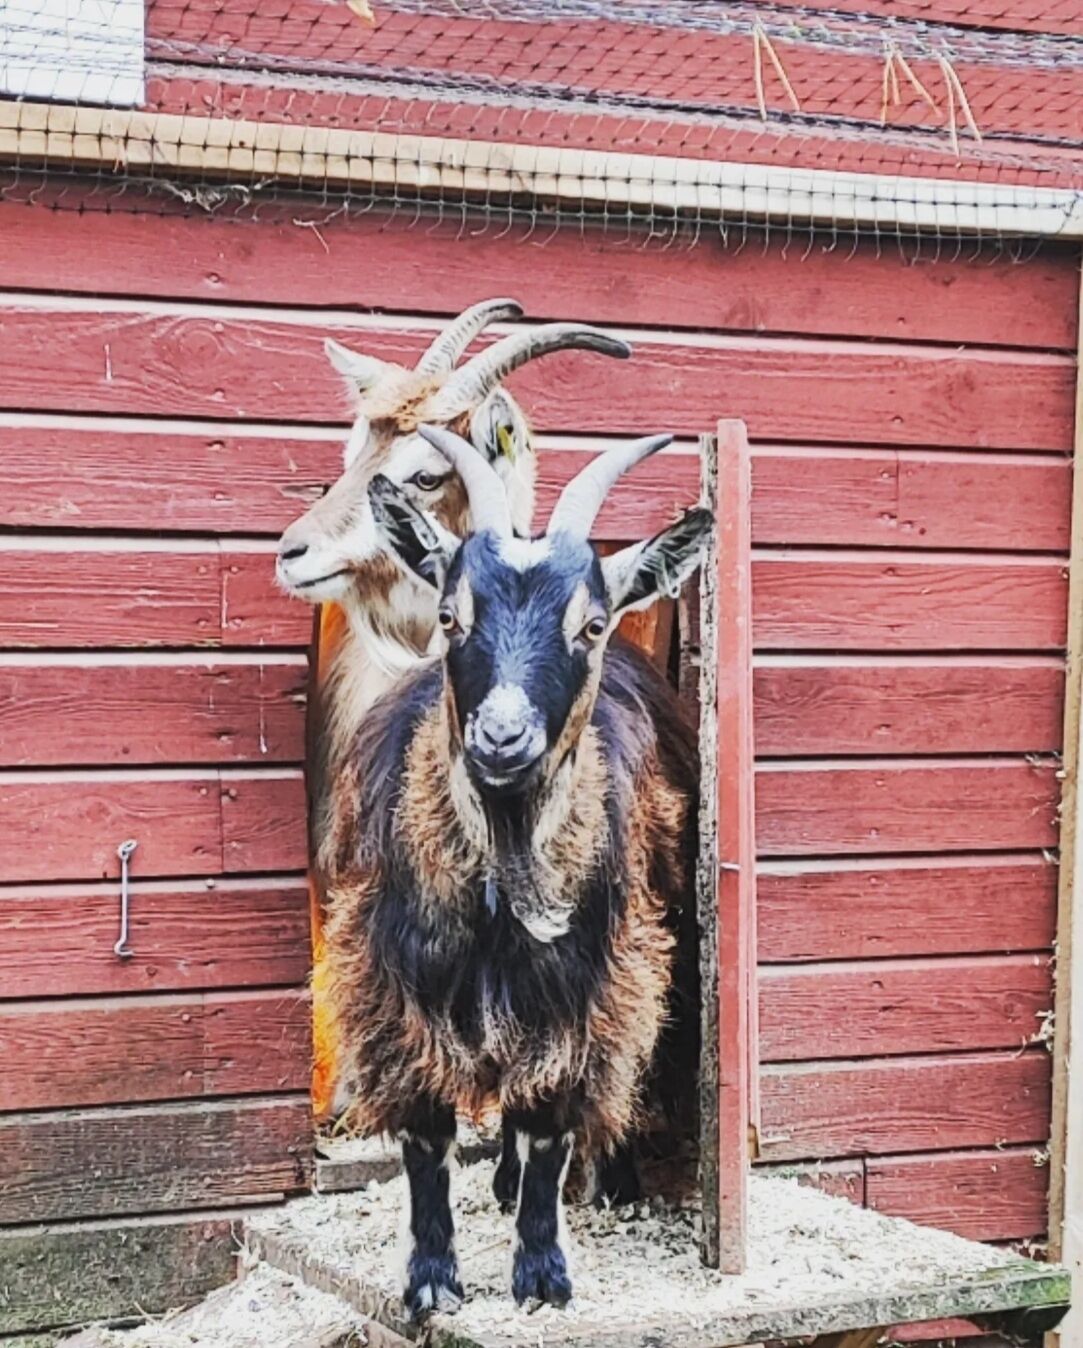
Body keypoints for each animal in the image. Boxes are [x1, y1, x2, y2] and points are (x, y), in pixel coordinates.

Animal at [323, 424, 711, 1315]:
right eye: (450, 615)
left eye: (592, 624)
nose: (502, 737)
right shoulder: (401, 992)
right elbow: (427, 1140)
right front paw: (432, 1280)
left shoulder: (579, 991)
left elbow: (549, 1127)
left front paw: (541, 1274)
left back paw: (616, 1182)